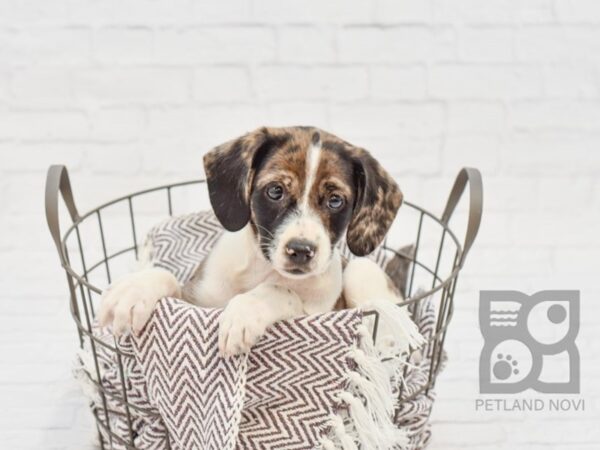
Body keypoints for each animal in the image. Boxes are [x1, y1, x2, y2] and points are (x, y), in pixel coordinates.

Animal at [99, 125, 404, 356]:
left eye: (335, 200)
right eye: (275, 191)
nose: (301, 250)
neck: (263, 269)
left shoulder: (318, 313)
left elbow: (281, 290)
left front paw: (244, 311)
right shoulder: (195, 301)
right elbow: (168, 278)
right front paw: (133, 291)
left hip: (363, 274)